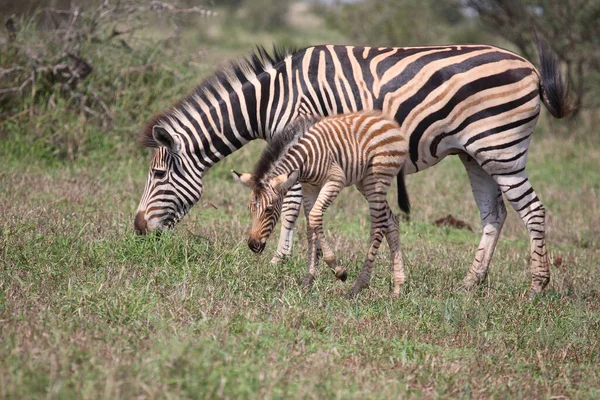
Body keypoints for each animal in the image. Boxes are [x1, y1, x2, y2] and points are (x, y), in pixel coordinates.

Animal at [232, 111, 410, 296]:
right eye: (250, 209)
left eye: (268, 209)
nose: (253, 245)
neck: (305, 159)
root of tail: (389, 122)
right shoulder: (309, 188)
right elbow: (310, 227)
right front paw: (308, 281)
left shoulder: (335, 179)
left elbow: (315, 216)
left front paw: (338, 270)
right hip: (364, 182)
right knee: (391, 220)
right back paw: (398, 287)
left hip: (377, 177)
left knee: (378, 223)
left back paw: (359, 285)